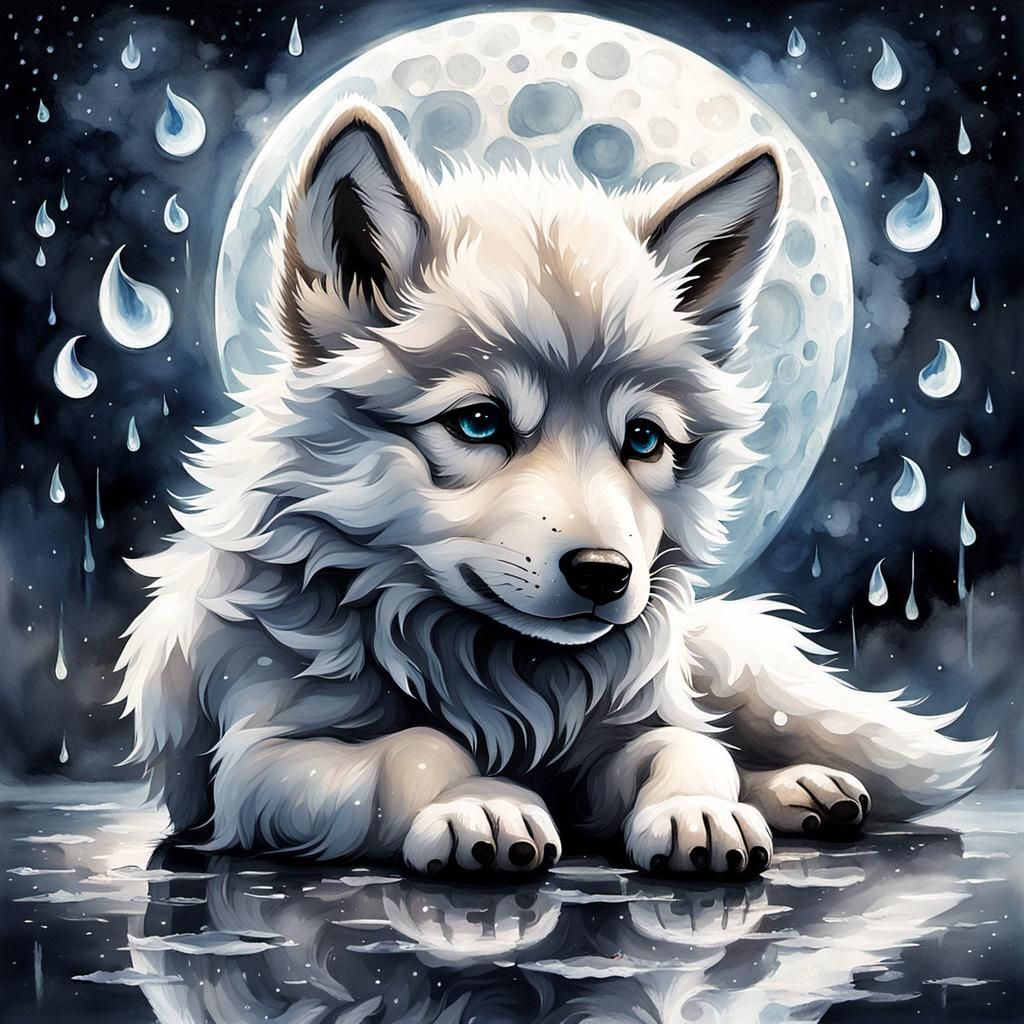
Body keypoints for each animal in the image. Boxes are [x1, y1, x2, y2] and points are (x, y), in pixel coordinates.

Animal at [116, 98, 990, 876]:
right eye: (478, 423)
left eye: (643, 439)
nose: (606, 575)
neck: (504, 675)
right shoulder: (260, 763)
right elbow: (416, 748)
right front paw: (482, 802)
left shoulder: (617, 736)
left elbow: (687, 748)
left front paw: (696, 813)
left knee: (732, 735)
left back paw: (804, 788)